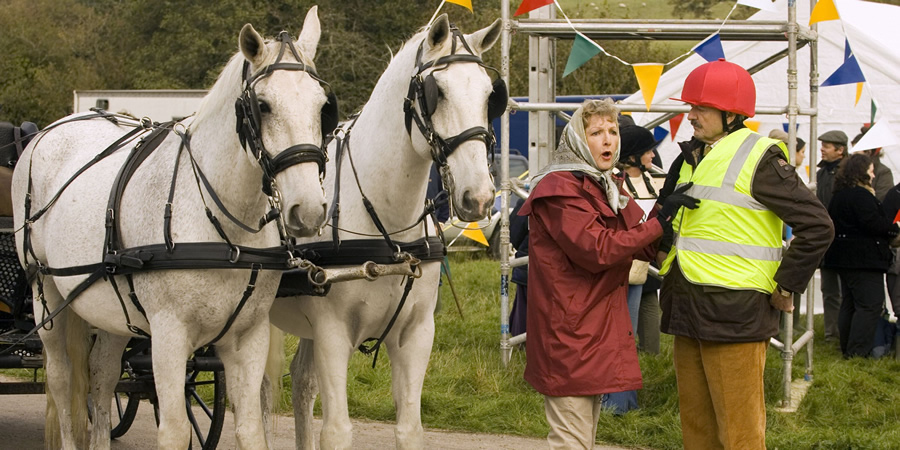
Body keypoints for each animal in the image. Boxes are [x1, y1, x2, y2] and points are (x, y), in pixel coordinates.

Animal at [14, 6, 332, 446]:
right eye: (264, 105)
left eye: (322, 106)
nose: (310, 209)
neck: (225, 229)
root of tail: (47, 131)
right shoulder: (168, 336)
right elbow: (176, 431)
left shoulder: (248, 337)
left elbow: (250, 428)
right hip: (45, 293)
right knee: (61, 380)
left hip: (112, 309)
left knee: (101, 375)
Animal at [268, 14, 506, 450]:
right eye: (437, 93)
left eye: (489, 95)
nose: (479, 196)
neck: (387, 232)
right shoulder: (332, 334)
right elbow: (337, 431)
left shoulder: (416, 335)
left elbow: (409, 428)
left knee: (302, 383)